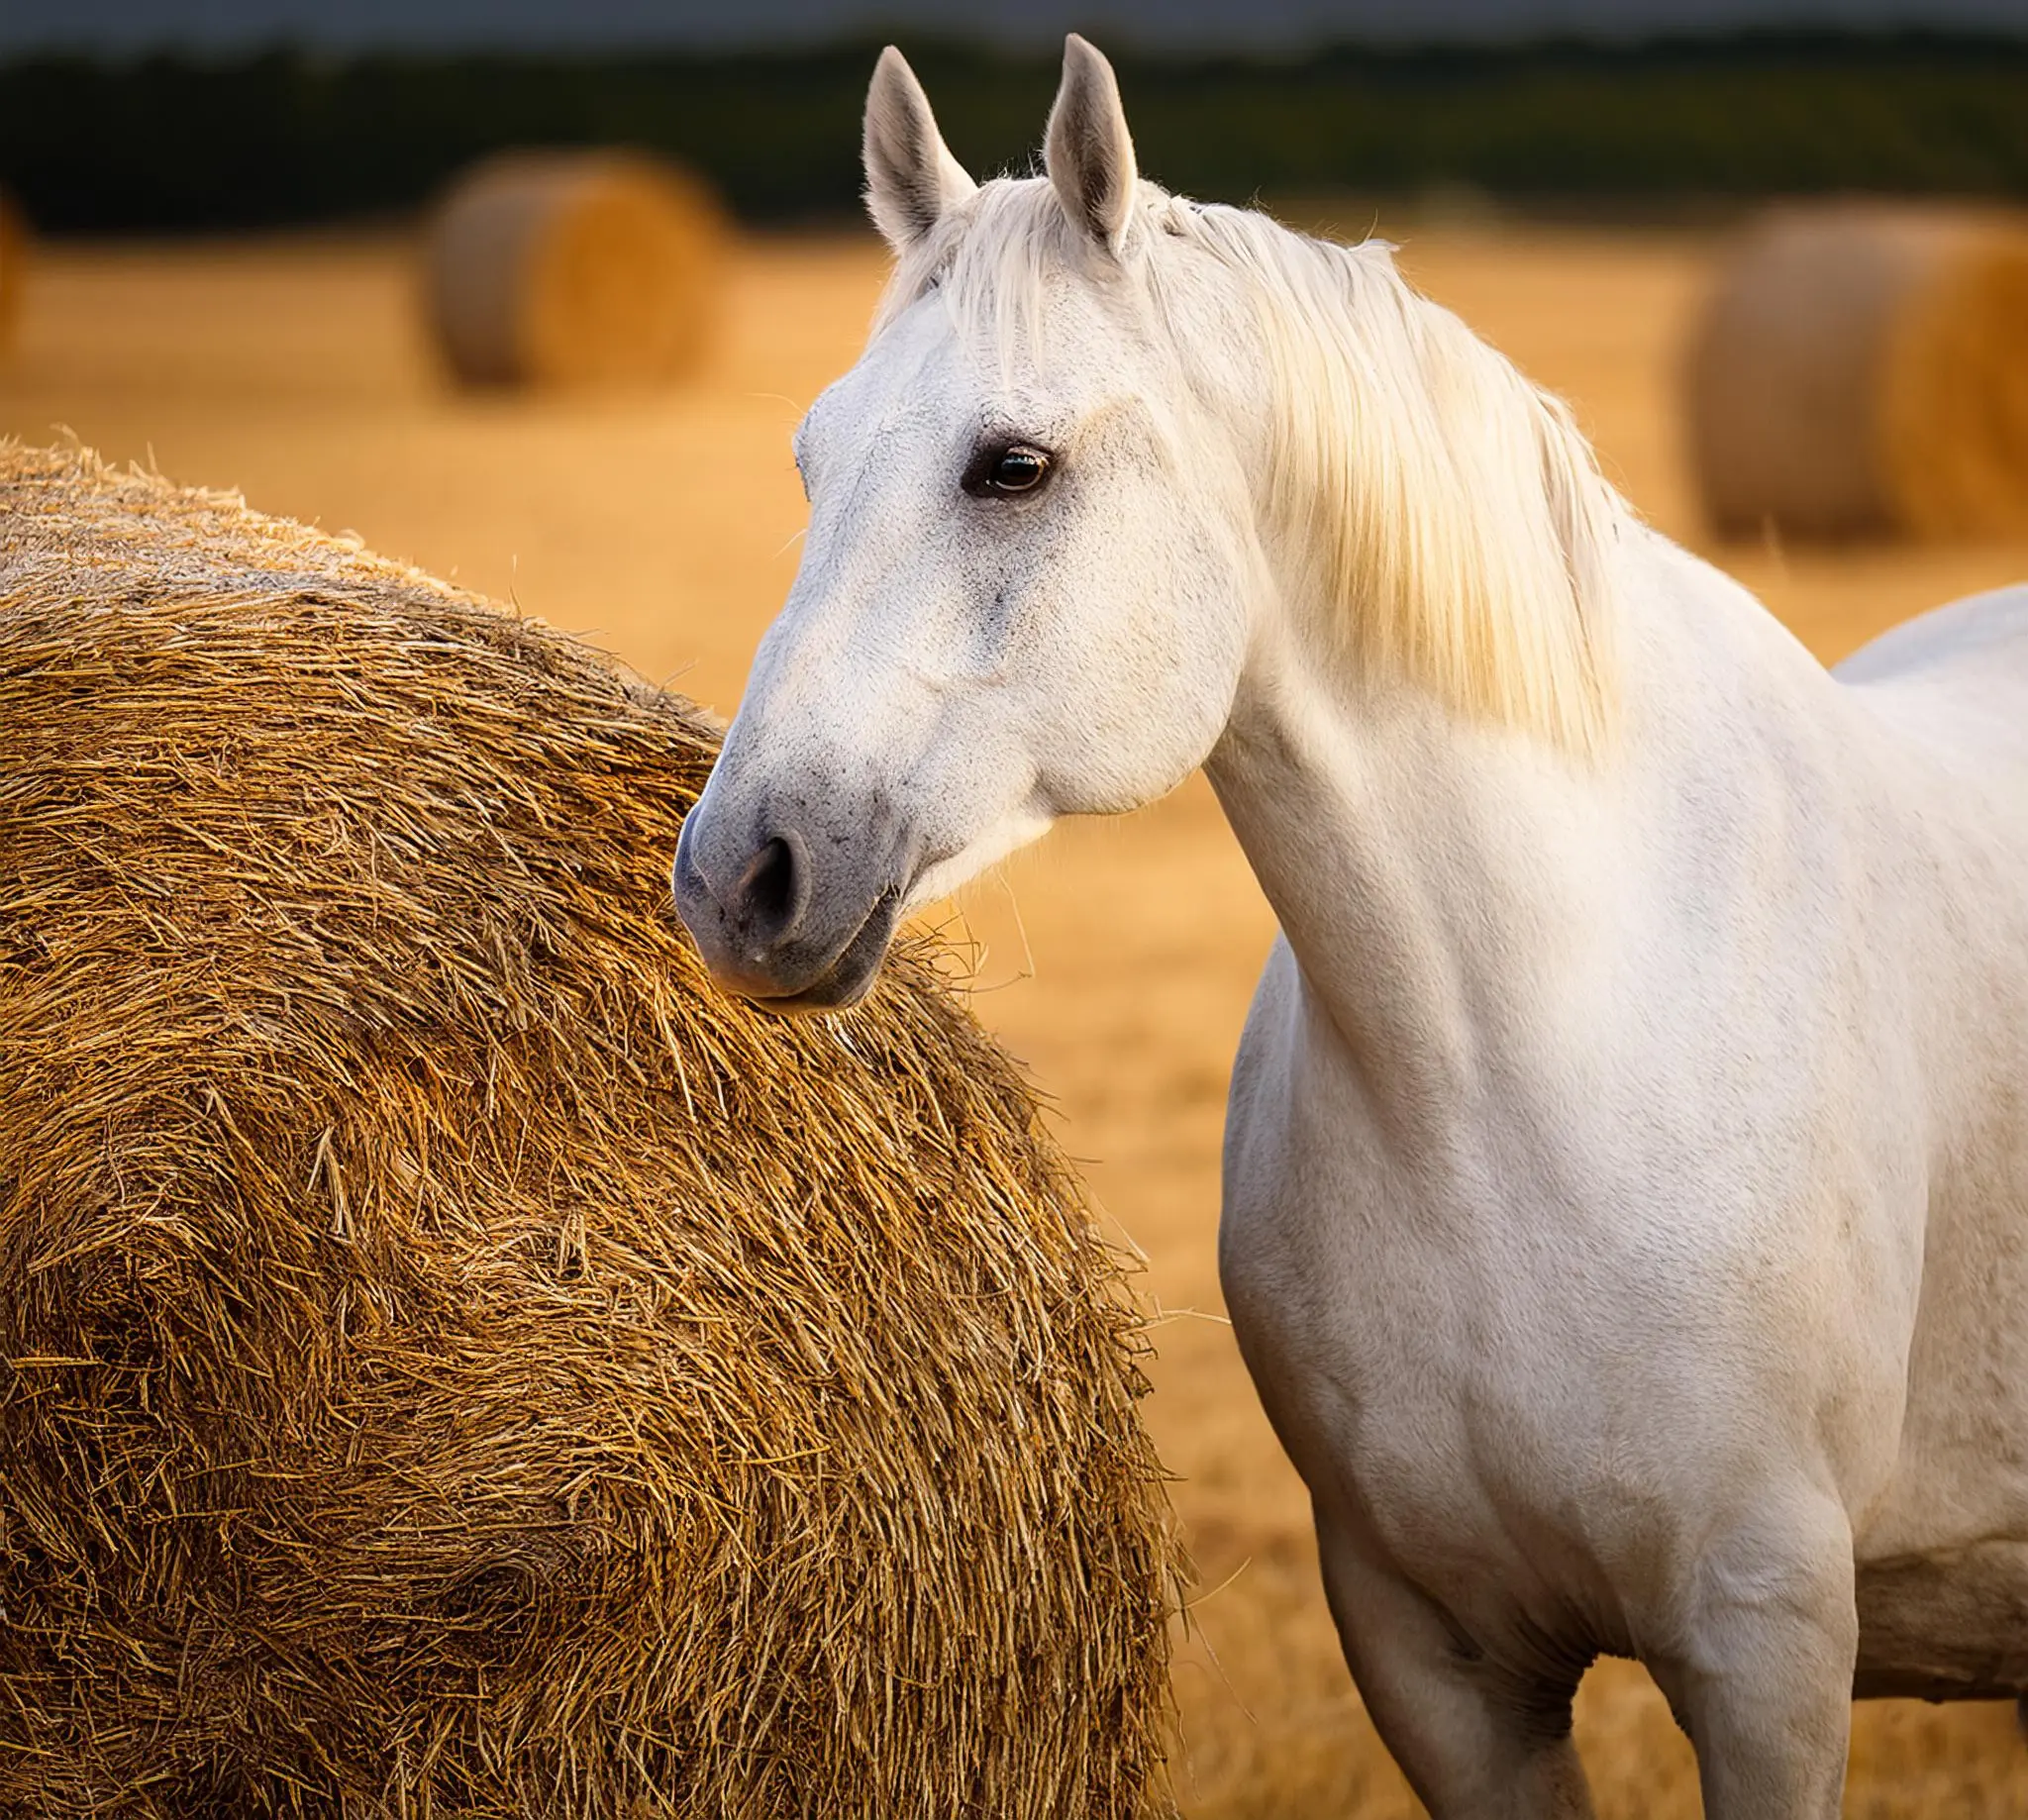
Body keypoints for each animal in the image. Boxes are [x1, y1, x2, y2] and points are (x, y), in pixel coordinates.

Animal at [672, 35, 2028, 1809]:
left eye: (1012, 464)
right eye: (812, 462)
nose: (737, 875)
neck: (1533, 1058)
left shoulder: (1768, 1641)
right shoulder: (1433, 1658)